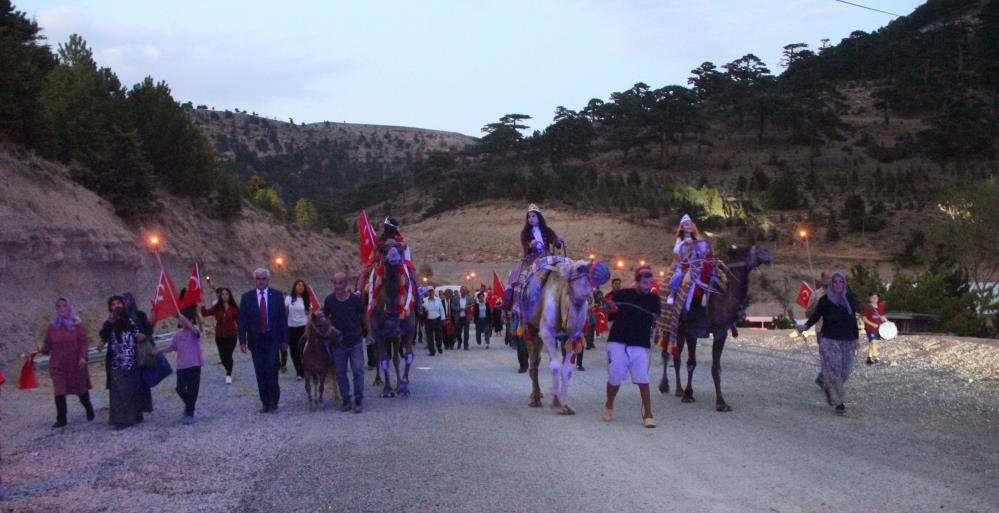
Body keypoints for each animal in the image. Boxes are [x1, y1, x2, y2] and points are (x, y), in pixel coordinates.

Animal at [520, 258, 612, 414]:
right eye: (580, 268)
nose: (602, 268)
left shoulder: (574, 335)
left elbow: (567, 369)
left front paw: (565, 405)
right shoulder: (547, 332)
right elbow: (556, 365)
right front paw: (556, 403)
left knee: (537, 359)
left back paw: (537, 394)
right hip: (529, 326)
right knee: (534, 361)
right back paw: (535, 399)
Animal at [656, 244, 772, 412]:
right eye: (746, 250)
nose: (768, 254)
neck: (717, 300)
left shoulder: (720, 332)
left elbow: (716, 368)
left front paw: (721, 402)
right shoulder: (693, 331)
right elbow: (691, 363)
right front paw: (688, 394)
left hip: (680, 331)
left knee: (676, 357)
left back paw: (678, 389)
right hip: (669, 326)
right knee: (666, 354)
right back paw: (664, 386)